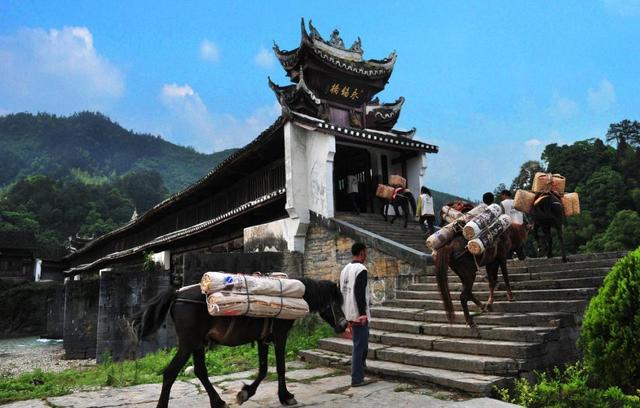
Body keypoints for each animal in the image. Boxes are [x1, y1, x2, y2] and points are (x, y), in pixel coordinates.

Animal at [132, 278, 348, 408]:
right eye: (335, 302)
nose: (344, 325)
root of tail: (177, 294)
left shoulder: (263, 339)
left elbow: (263, 369)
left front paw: (245, 393)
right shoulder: (280, 336)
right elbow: (280, 367)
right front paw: (286, 396)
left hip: (198, 343)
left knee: (200, 371)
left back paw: (218, 402)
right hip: (188, 344)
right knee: (170, 373)